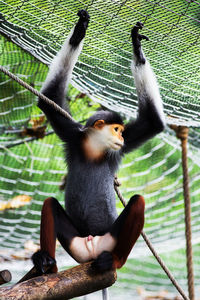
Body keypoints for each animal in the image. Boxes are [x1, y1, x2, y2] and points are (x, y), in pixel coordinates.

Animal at [31, 9, 166, 274]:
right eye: (116, 130)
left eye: (123, 132)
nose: (121, 138)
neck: (95, 149)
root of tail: (91, 244)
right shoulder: (73, 135)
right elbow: (48, 99)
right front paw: (79, 31)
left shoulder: (118, 150)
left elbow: (153, 122)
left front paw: (137, 49)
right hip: (74, 242)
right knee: (50, 203)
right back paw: (47, 263)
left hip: (110, 240)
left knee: (138, 201)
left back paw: (115, 260)